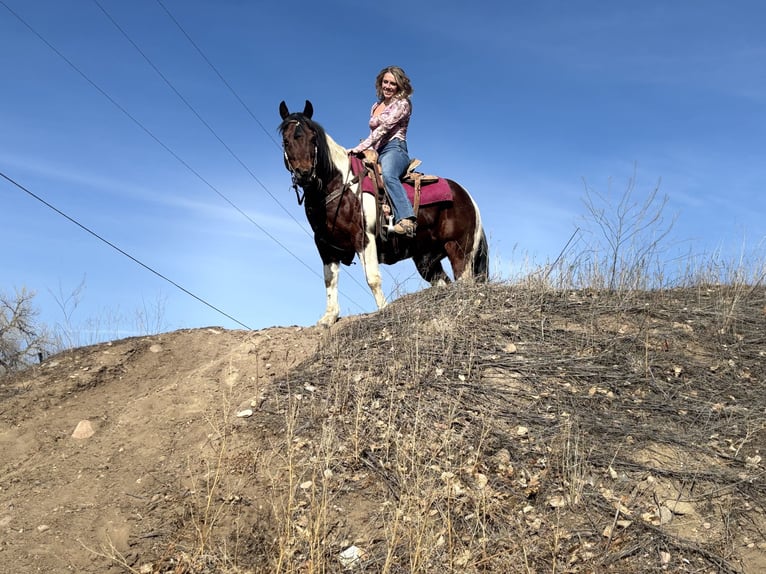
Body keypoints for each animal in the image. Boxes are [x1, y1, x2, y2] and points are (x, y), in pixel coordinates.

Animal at [279, 100, 488, 326]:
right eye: (286, 141)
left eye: (313, 137)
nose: (305, 174)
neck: (339, 184)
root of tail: (467, 197)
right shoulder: (325, 246)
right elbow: (329, 279)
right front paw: (329, 316)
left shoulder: (364, 238)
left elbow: (372, 277)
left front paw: (383, 310)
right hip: (427, 259)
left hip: (459, 250)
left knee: (464, 281)